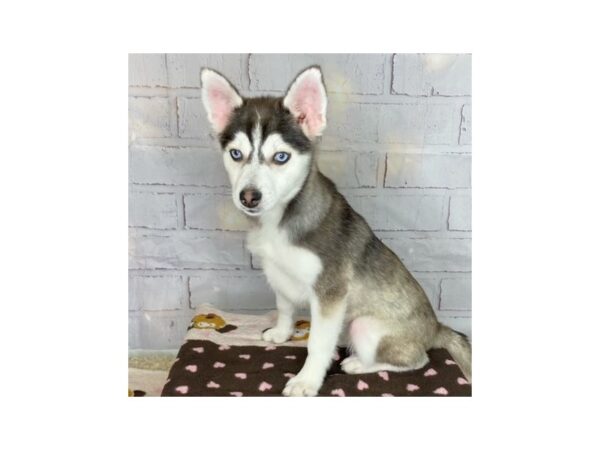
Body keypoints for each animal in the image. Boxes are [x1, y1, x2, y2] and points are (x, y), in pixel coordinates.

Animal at [199, 65, 472, 396]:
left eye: (281, 157)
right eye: (236, 154)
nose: (249, 197)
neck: (281, 220)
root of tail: (435, 329)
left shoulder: (330, 293)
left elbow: (317, 343)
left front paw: (306, 380)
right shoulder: (278, 273)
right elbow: (285, 307)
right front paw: (282, 332)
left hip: (364, 326)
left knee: (417, 360)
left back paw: (358, 364)